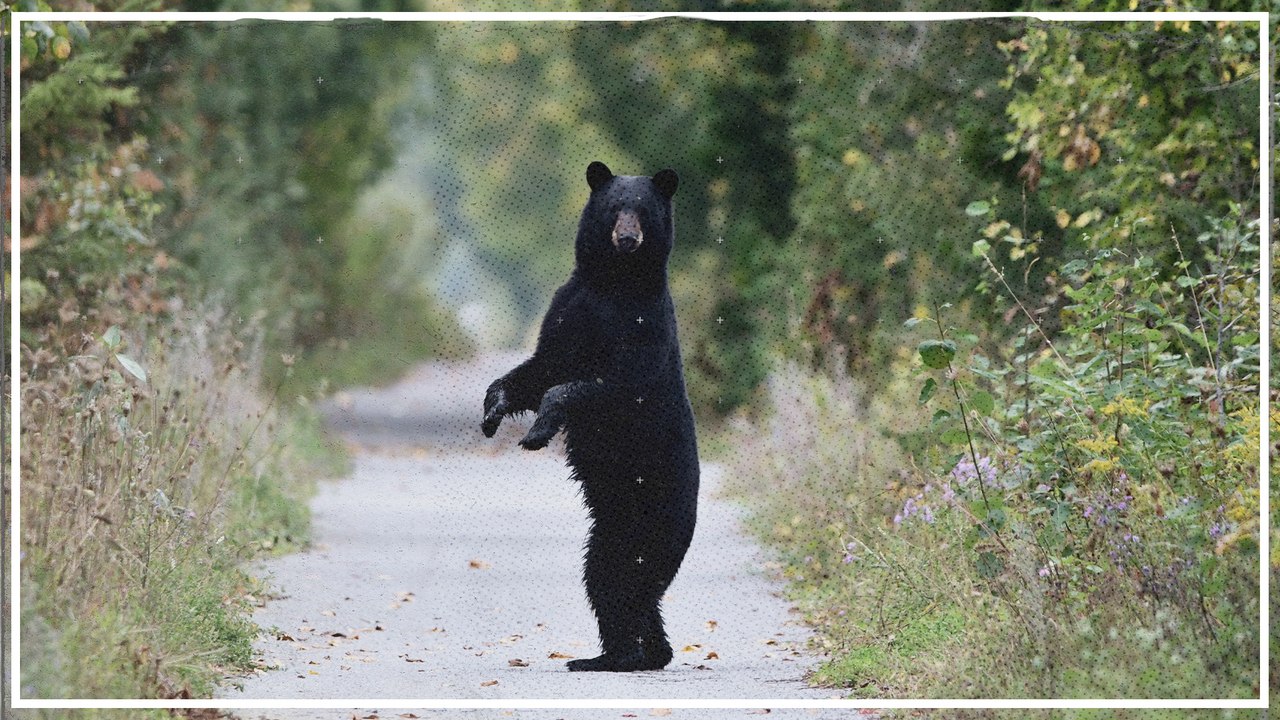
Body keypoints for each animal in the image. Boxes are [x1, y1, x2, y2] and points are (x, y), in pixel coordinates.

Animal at [481, 161, 700, 673]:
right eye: (614, 207)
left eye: (642, 210)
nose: (628, 238)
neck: (613, 281)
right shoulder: (568, 307)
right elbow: (541, 367)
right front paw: (493, 410)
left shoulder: (641, 325)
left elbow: (608, 383)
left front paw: (537, 433)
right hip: (608, 530)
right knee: (606, 580)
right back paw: (626, 654)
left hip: (654, 520)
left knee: (632, 584)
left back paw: (625, 656)